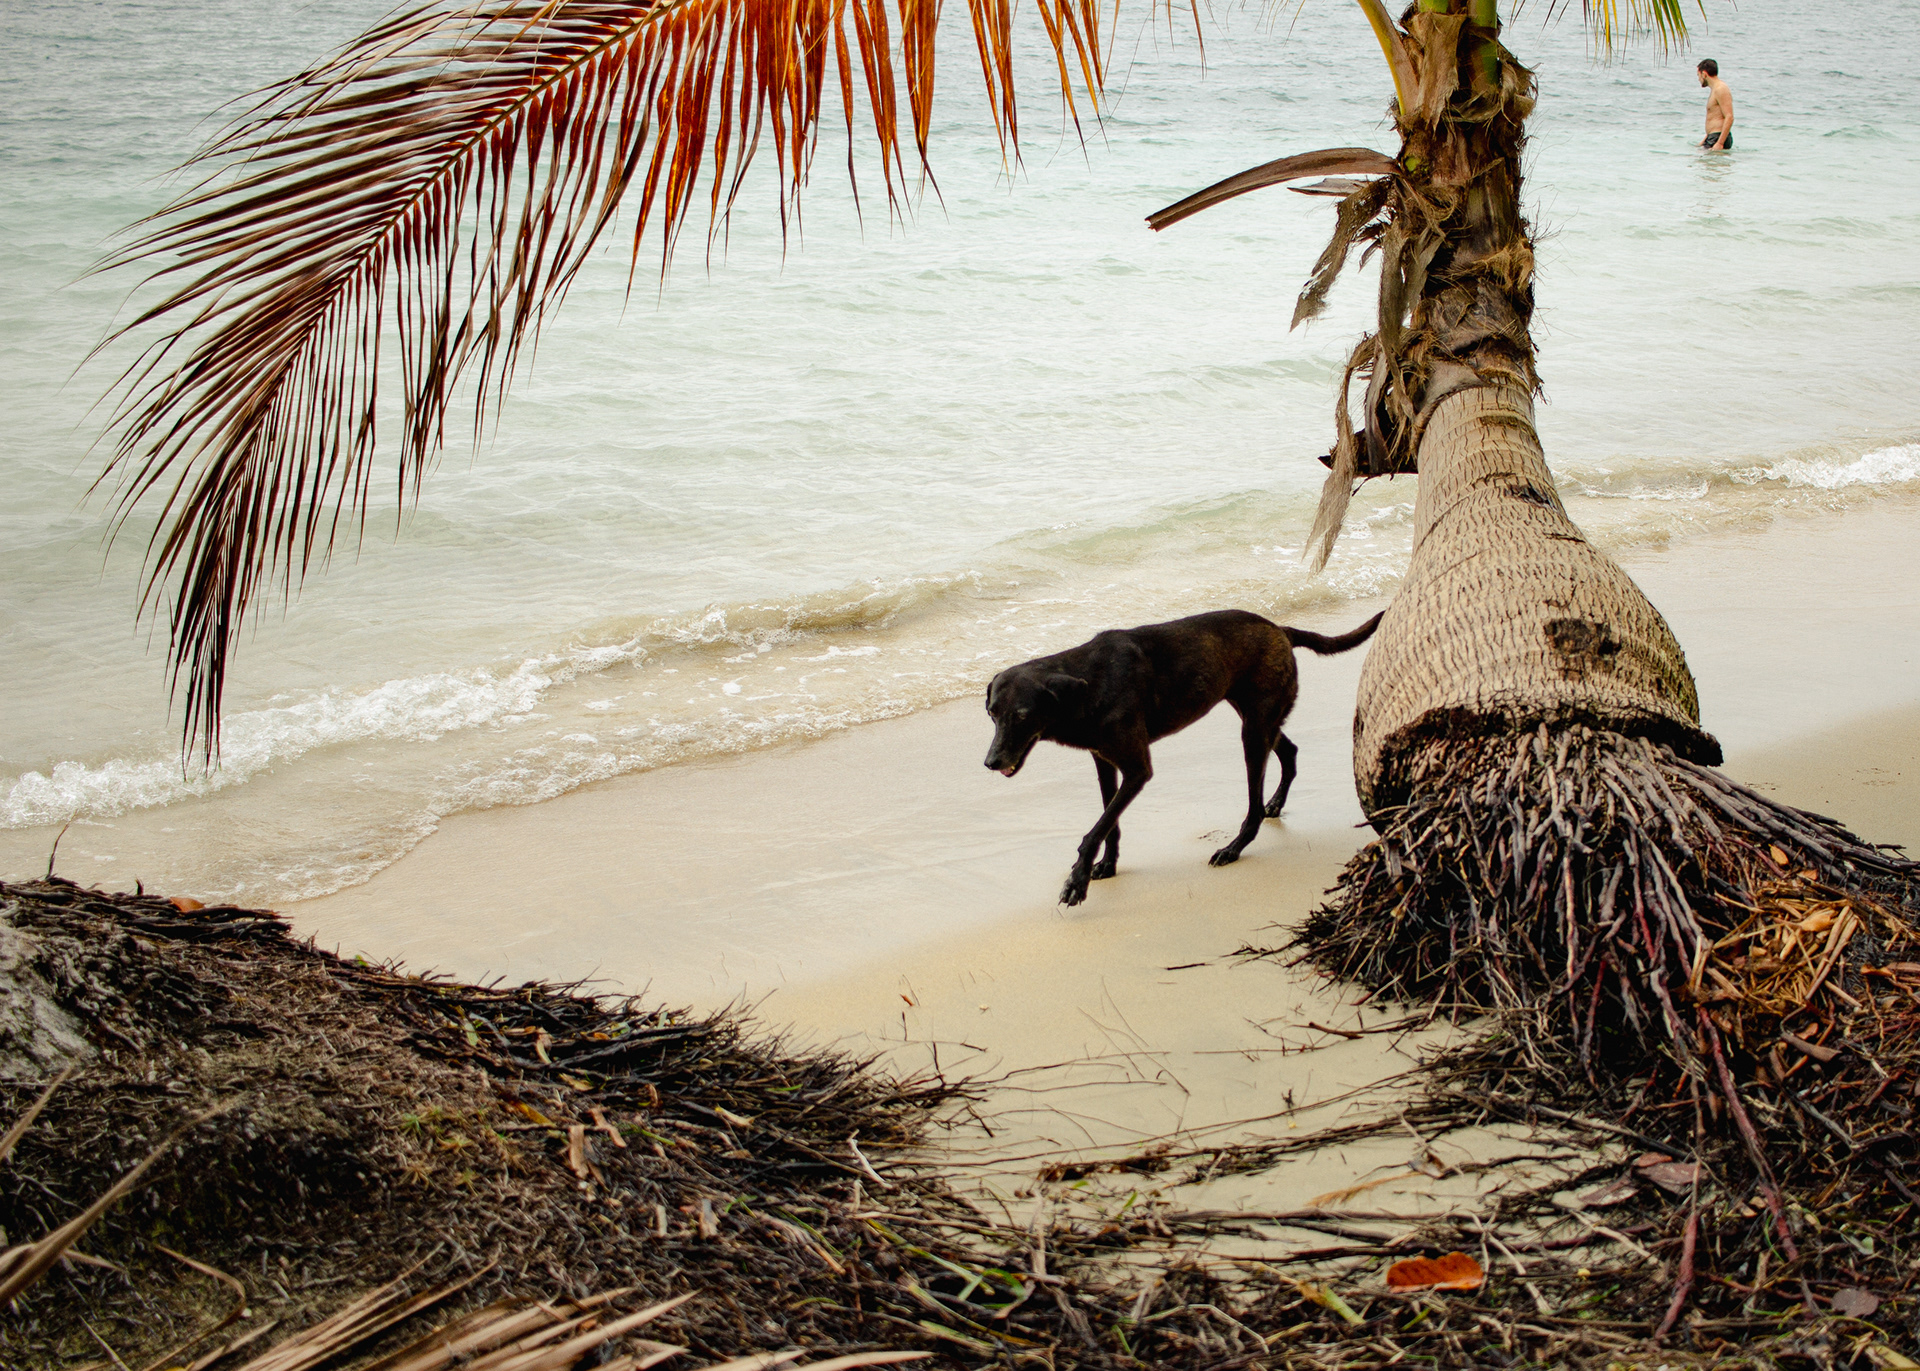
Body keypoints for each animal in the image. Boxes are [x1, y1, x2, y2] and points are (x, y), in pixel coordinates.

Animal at [984, 609, 1383, 906]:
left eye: (1022, 715)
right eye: (991, 713)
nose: (990, 762)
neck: (1088, 684)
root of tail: (1279, 629)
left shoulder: (1137, 770)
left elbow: (1097, 827)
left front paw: (1076, 880)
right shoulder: (1105, 762)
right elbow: (1109, 822)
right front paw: (1107, 865)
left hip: (1254, 730)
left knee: (1253, 805)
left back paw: (1234, 847)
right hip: (1257, 716)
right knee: (1289, 752)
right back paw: (1275, 803)